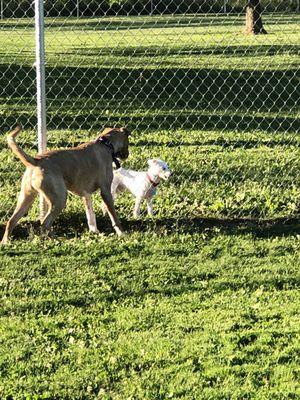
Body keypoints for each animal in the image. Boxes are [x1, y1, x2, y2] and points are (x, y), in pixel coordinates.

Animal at [1, 125, 131, 244]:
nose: (127, 155)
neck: (105, 144)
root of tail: (36, 161)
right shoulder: (105, 192)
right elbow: (114, 216)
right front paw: (121, 233)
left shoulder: (86, 195)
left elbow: (90, 216)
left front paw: (94, 231)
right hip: (59, 199)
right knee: (45, 223)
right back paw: (54, 240)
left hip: (26, 198)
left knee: (11, 221)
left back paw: (5, 242)